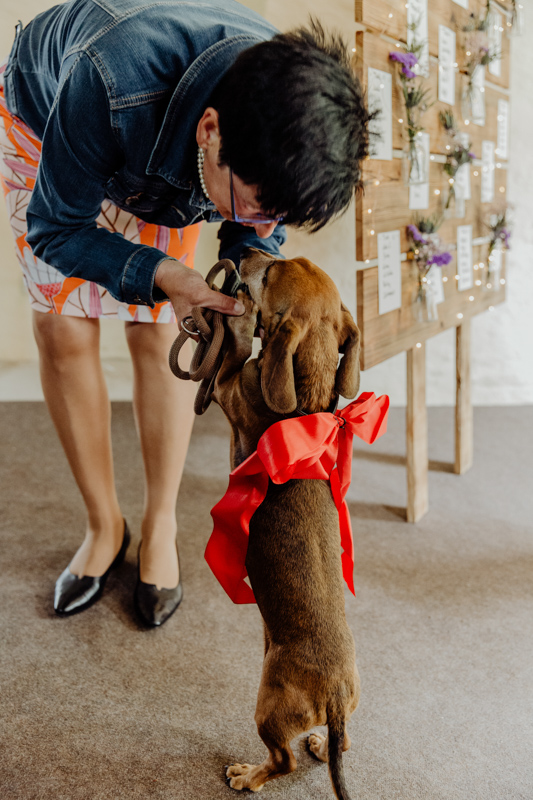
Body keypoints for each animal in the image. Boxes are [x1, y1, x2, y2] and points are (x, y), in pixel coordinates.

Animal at [212, 247, 362, 796]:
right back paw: (323, 743)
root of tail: (335, 696)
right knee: (340, 742)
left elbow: (234, 353)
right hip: (346, 706)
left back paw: (248, 774)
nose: (245, 249)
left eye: (271, 272)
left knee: (283, 761)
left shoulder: (228, 387)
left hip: (267, 706)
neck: (304, 407)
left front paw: (239, 314)